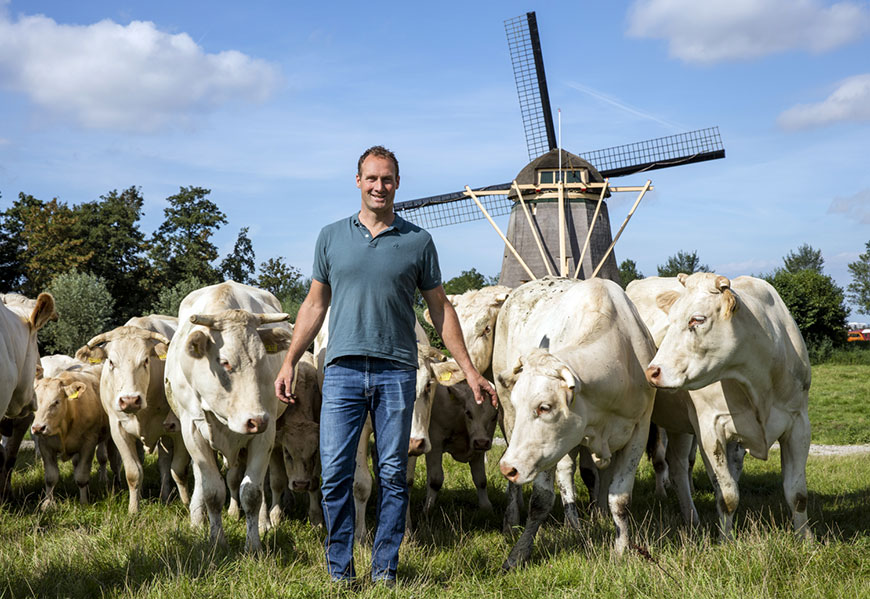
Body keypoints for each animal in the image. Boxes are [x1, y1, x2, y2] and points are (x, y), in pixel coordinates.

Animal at [31, 370, 115, 506]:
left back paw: (103, 478)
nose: (38, 428)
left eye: (56, 402)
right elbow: (50, 477)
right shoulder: (45, 445)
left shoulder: (89, 444)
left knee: (102, 457)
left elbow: (82, 476)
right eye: (34, 403)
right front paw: (48, 503)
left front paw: (84, 502)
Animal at [76, 314, 190, 516]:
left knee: (165, 464)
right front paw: (133, 509)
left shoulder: (178, 430)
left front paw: (186, 505)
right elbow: (133, 472)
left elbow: (179, 470)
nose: (129, 400)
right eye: (111, 362)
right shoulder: (119, 430)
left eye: (145, 360)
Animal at [165, 282, 294, 552]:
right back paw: (197, 520)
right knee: (200, 478)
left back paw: (263, 522)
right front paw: (216, 541)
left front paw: (254, 544)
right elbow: (212, 491)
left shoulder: (265, 434)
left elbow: (253, 492)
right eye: (224, 362)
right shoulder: (192, 429)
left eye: (263, 359)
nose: (255, 420)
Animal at [498, 276, 656, 568]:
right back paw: (514, 521)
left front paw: (621, 549)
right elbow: (540, 501)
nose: (508, 468)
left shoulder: (639, 430)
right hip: (510, 421)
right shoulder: (546, 451)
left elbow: (620, 498)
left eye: (544, 407)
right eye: (519, 402)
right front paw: (518, 554)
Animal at [644, 274, 816, 540]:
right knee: (674, 465)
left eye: (697, 319)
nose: (652, 371)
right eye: (670, 320)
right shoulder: (710, 429)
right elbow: (727, 495)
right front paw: (726, 540)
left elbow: (797, 494)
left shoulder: (798, 425)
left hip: (679, 423)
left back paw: (691, 519)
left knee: (678, 465)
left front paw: (805, 539)